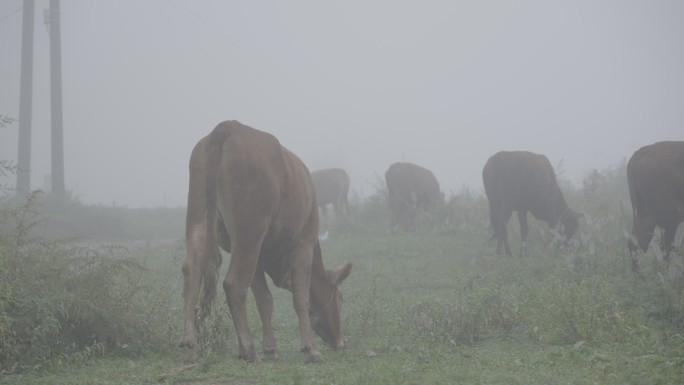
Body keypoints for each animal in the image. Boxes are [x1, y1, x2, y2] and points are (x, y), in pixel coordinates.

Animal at [180, 121, 352, 364]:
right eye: (341, 298)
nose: (341, 341)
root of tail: (228, 127)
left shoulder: (258, 257)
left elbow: (265, 300)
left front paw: (270, 349)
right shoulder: (303, 245)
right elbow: (301, 297)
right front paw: (311, 349)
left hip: (200, 218)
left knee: (192, 271)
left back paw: (190, 346)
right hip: (248, 234)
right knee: (234, 284)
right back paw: (248, 349)